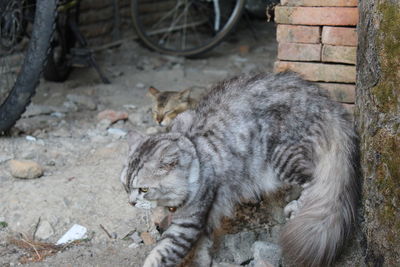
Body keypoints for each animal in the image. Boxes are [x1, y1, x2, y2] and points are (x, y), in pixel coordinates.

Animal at [119, 73, 360, 267]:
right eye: (126, 187)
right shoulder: (203, 217)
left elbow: (162, 252)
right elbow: (202, 247)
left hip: (282, 156)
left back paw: (297, 207)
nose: (130, 203)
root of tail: (321, 98)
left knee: (314, 181)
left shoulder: (188, 222)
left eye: (143, 190)